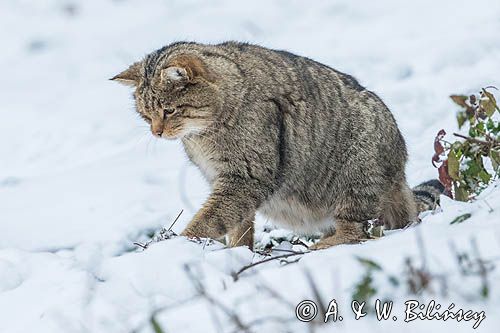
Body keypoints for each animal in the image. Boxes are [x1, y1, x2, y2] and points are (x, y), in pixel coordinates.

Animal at [111, 40, 444, 249]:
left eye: (168, 110)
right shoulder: (227, 181)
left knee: (358, 231)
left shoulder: (245, 177)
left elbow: (211, 219)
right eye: (145, 114)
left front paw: (179, 246)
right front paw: (236, 254)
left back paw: (323, 245)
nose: (156, 132)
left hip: (356, 174)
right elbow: (239, 225)